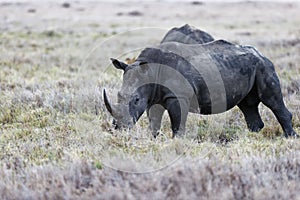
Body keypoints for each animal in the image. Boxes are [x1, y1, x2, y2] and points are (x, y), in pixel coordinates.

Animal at [103, 39, 298, 138]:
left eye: (136, 100)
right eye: (118, 96)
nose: (119, 127)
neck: (150, 70)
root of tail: (261, 54)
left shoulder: (178, 97)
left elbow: (177, 123)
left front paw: (177, 142)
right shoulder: (153, 98)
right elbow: (154, 122)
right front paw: (154, 140)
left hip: (264, 66)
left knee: (271, 100)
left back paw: (290, 137)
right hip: (249, 66)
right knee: (247, 105)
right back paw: (252, 137)